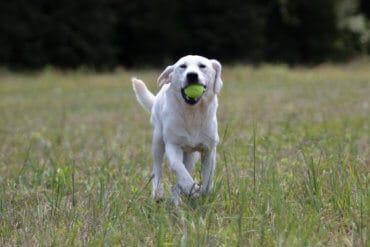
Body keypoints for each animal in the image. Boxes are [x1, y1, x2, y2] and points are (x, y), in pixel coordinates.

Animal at [132, 55, 221, 206]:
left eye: (202, 66)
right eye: (182, 66)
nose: (192, 75)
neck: (192, 114)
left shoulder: (209, 150)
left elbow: (208, 177)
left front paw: (203, 194)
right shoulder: (173, 145)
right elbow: (177, 167)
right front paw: (191, 188)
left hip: (191, 156)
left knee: (185, 170)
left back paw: (176, 200)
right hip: (158, 140)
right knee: (157, 168)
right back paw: (158, 192)